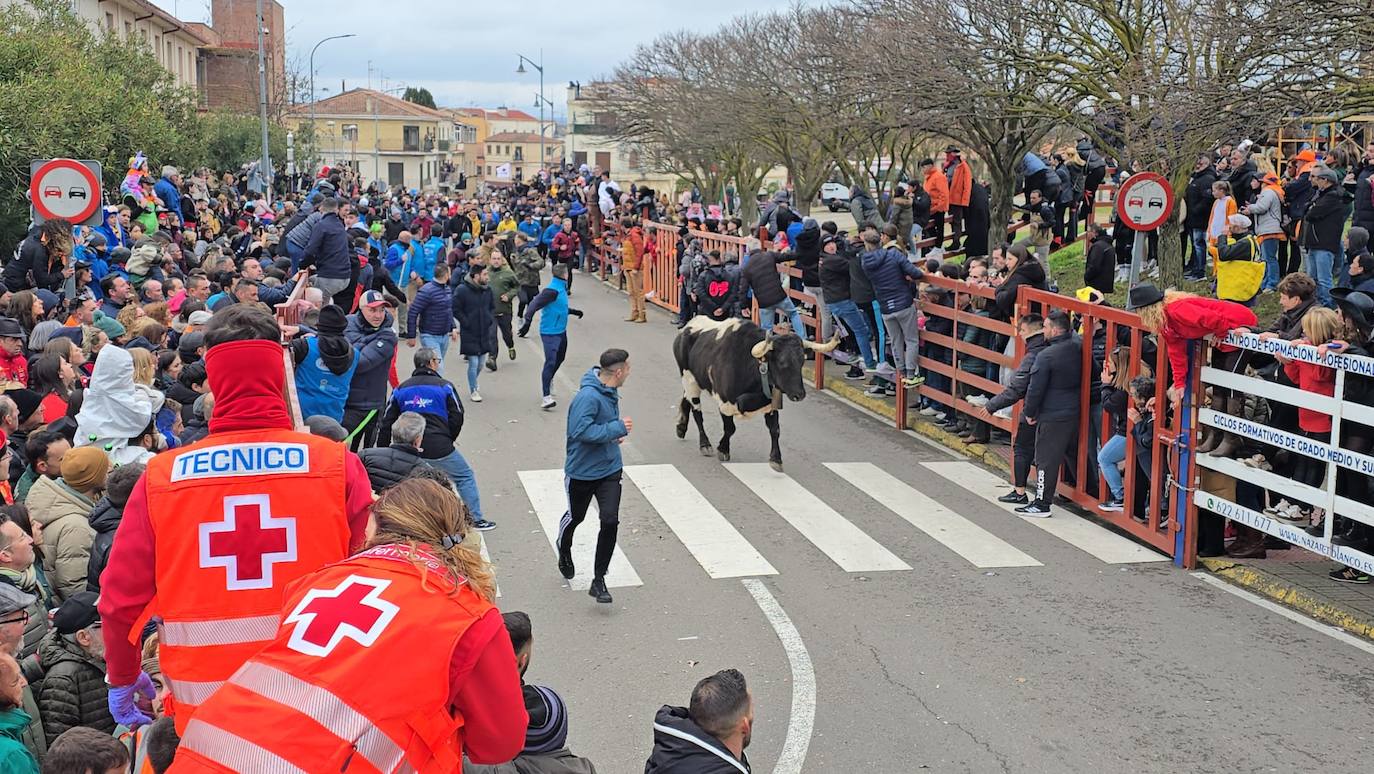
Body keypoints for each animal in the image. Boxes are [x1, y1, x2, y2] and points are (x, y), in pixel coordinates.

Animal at [673, 316, 835, 472]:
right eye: (782, 362)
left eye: (802, 361)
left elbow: (775, 430)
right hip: (689, 380)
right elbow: (730, 428)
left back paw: (681, 427)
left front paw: (776, 459)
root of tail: (687, 326)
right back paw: (704, 444)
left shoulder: (771, 404)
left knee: (686, 399)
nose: (799, 394)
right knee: (697, 412)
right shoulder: (726, 402)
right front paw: (723, 449)